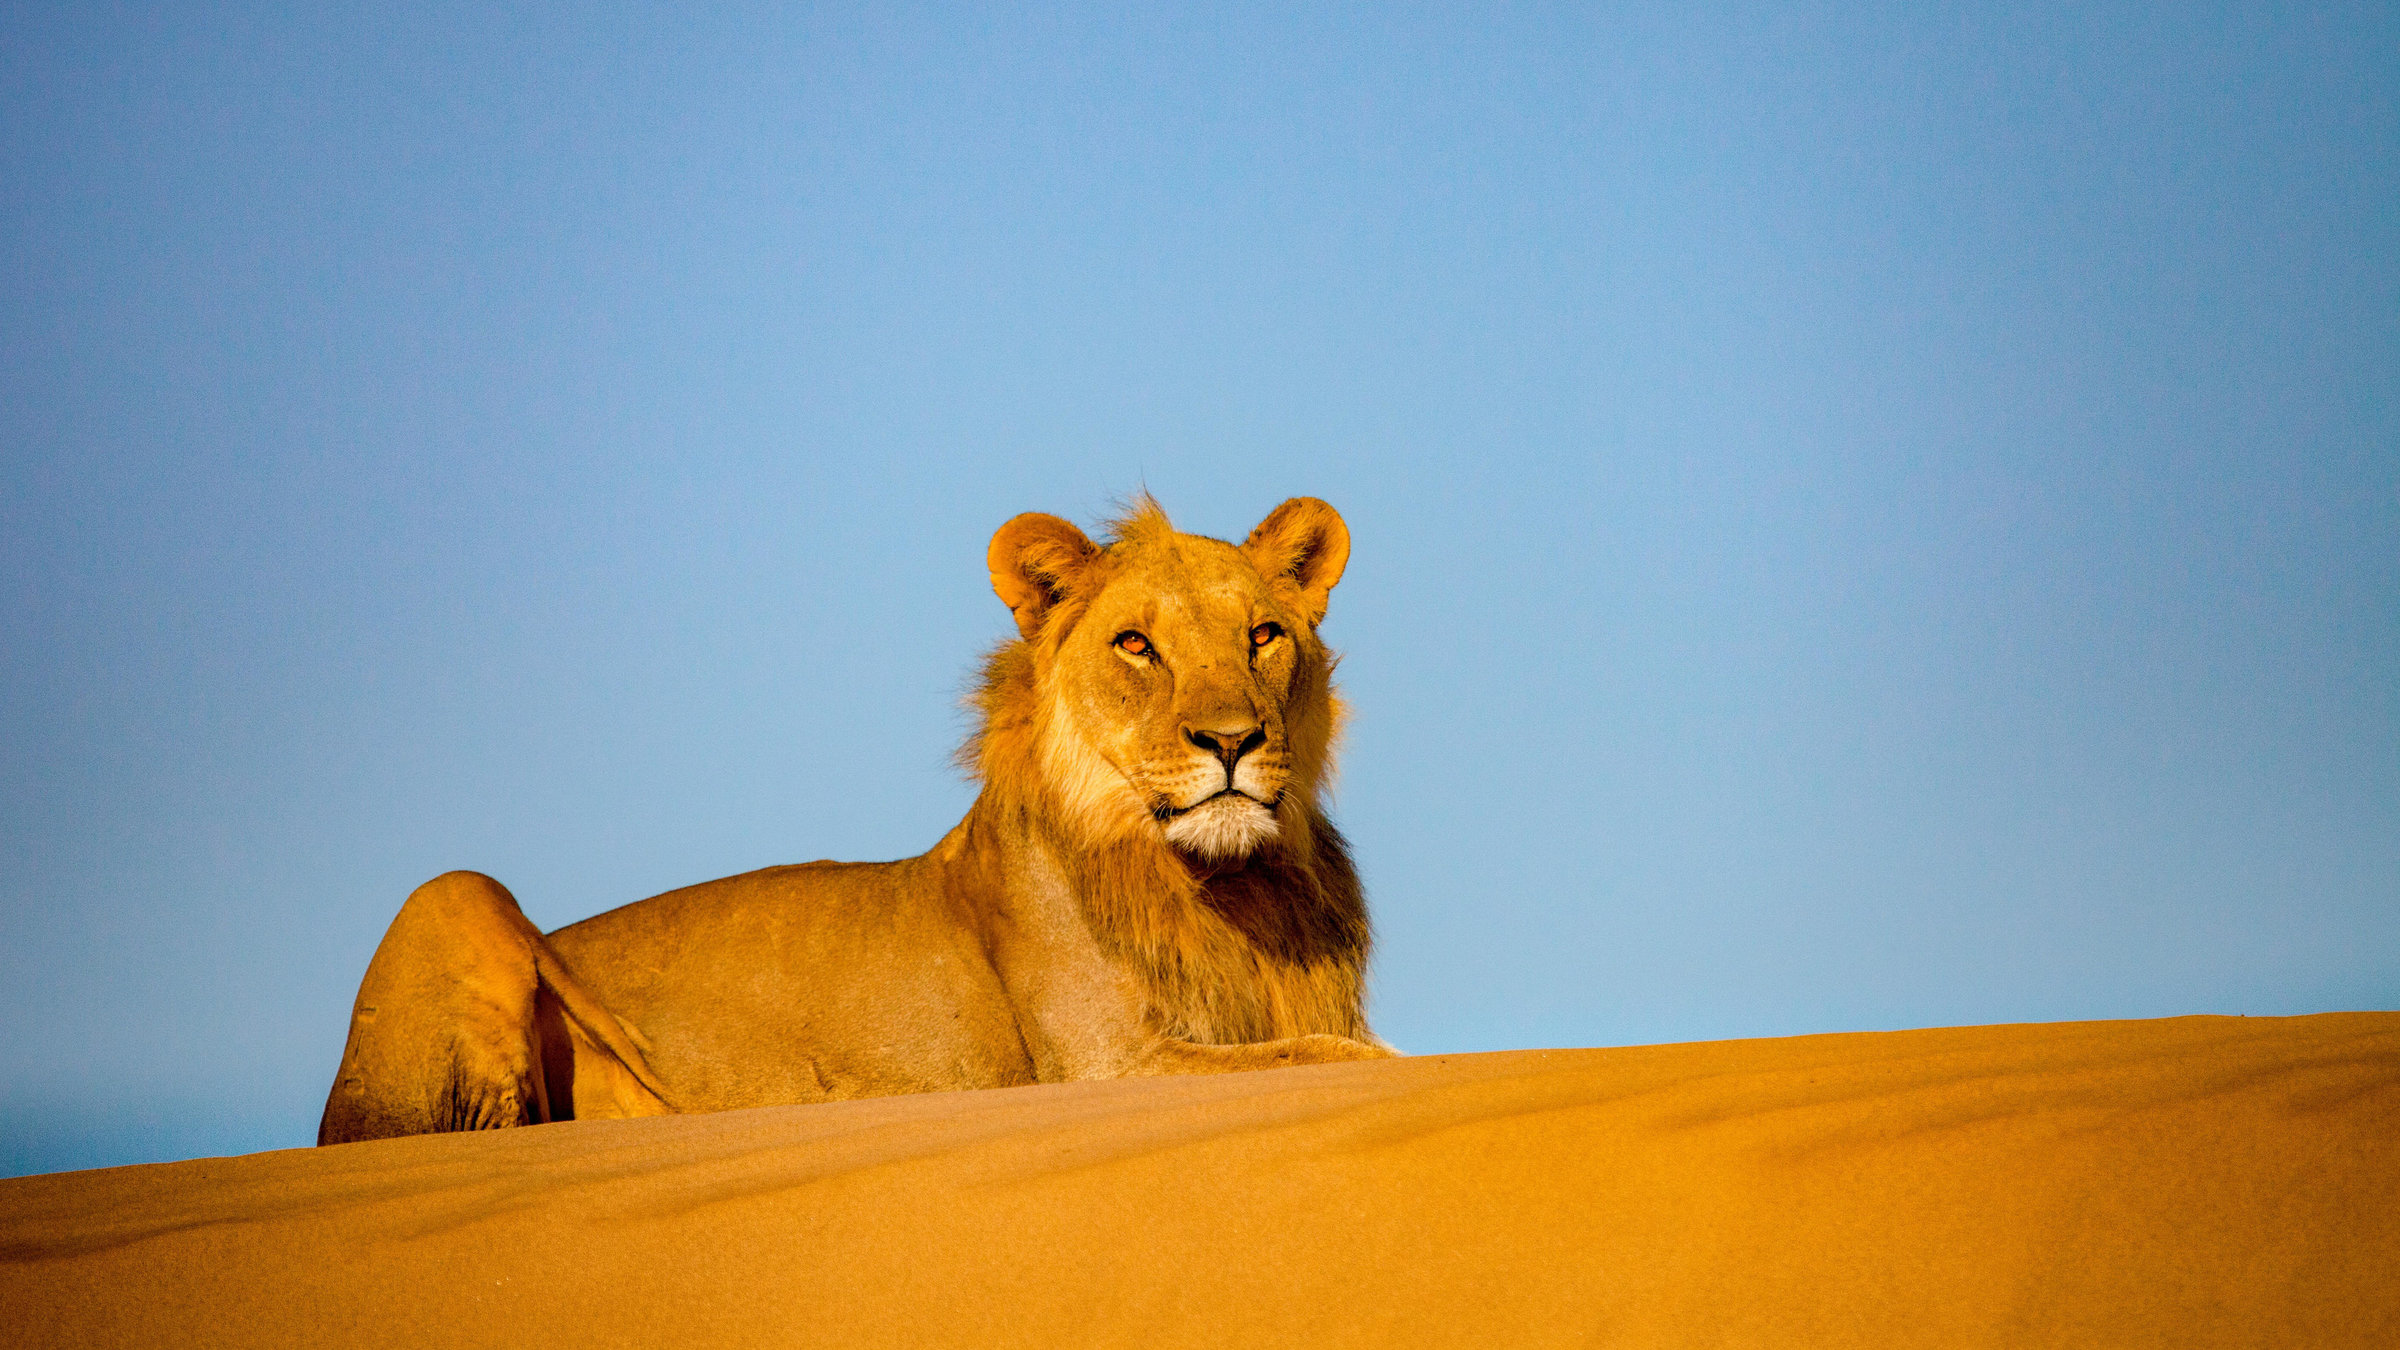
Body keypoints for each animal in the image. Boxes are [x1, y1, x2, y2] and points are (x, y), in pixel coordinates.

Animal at [317, 496, 1393, 1144]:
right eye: (1136, 645)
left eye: (1263, 635)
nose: (1233, 741)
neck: (1231, 889)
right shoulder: (1104, 1065)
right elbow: (1331, 1058)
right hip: (455, 893)